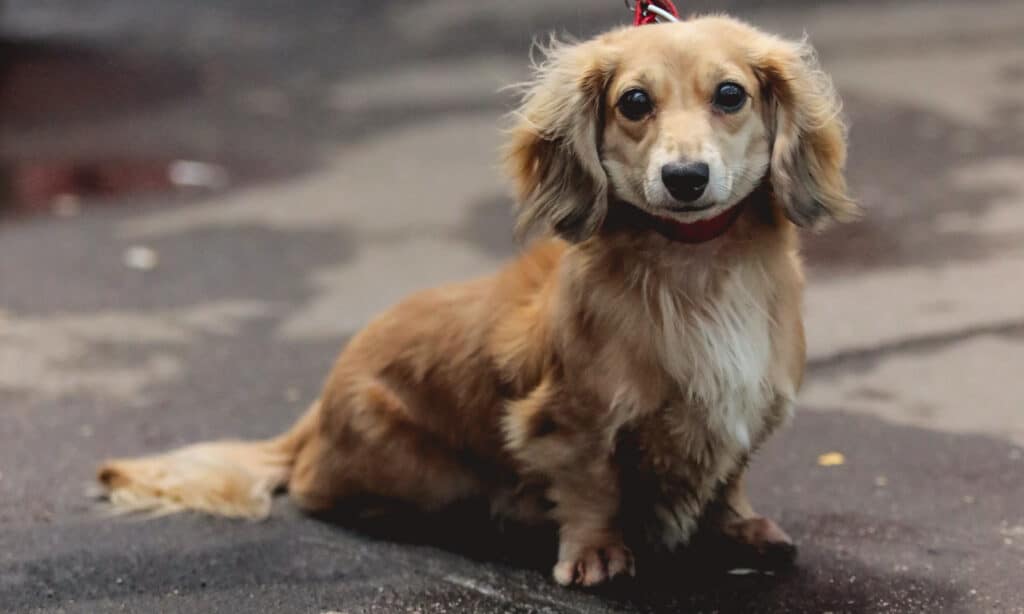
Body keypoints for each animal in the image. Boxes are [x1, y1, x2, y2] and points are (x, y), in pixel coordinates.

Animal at [101, 16, 856, 589]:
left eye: (730, 94)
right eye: (634, 103)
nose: (685, 178)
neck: (699, 267)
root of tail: (313, 412)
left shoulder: (747, 407)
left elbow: (728, 478)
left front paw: (738, 528)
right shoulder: (567, 420)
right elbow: (592, 484)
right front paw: (595, 551)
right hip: (413, 465)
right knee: (319, 489)